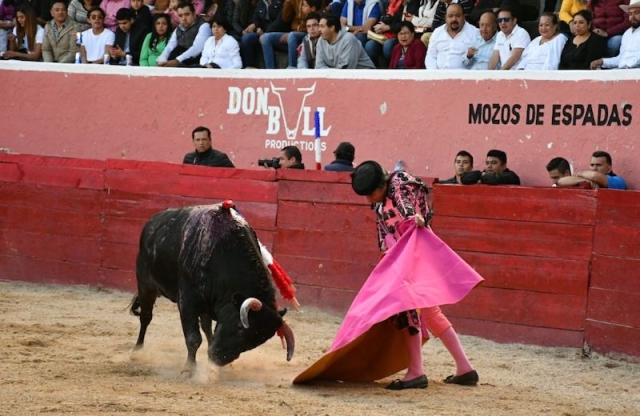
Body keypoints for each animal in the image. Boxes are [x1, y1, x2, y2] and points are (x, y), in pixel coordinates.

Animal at [130, 201, 296, 374]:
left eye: (256, 342)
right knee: (146, 317)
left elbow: (208, 331)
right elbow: (193, 338)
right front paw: (189, 369)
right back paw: (137, 351)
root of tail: (151, 223)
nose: (218, 358)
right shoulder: (187, 301)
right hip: (145, 286)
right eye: (240, 328)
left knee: (206, 327)